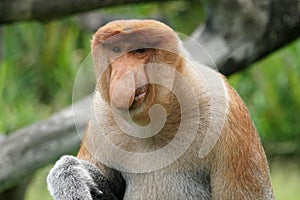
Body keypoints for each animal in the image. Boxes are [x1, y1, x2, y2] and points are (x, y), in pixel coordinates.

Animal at [47, 19, 274, 200]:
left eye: (140, 51)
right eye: (116, 50)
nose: (122, 74)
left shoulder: (223, 109)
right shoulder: (101, 117)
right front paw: (68, 175)